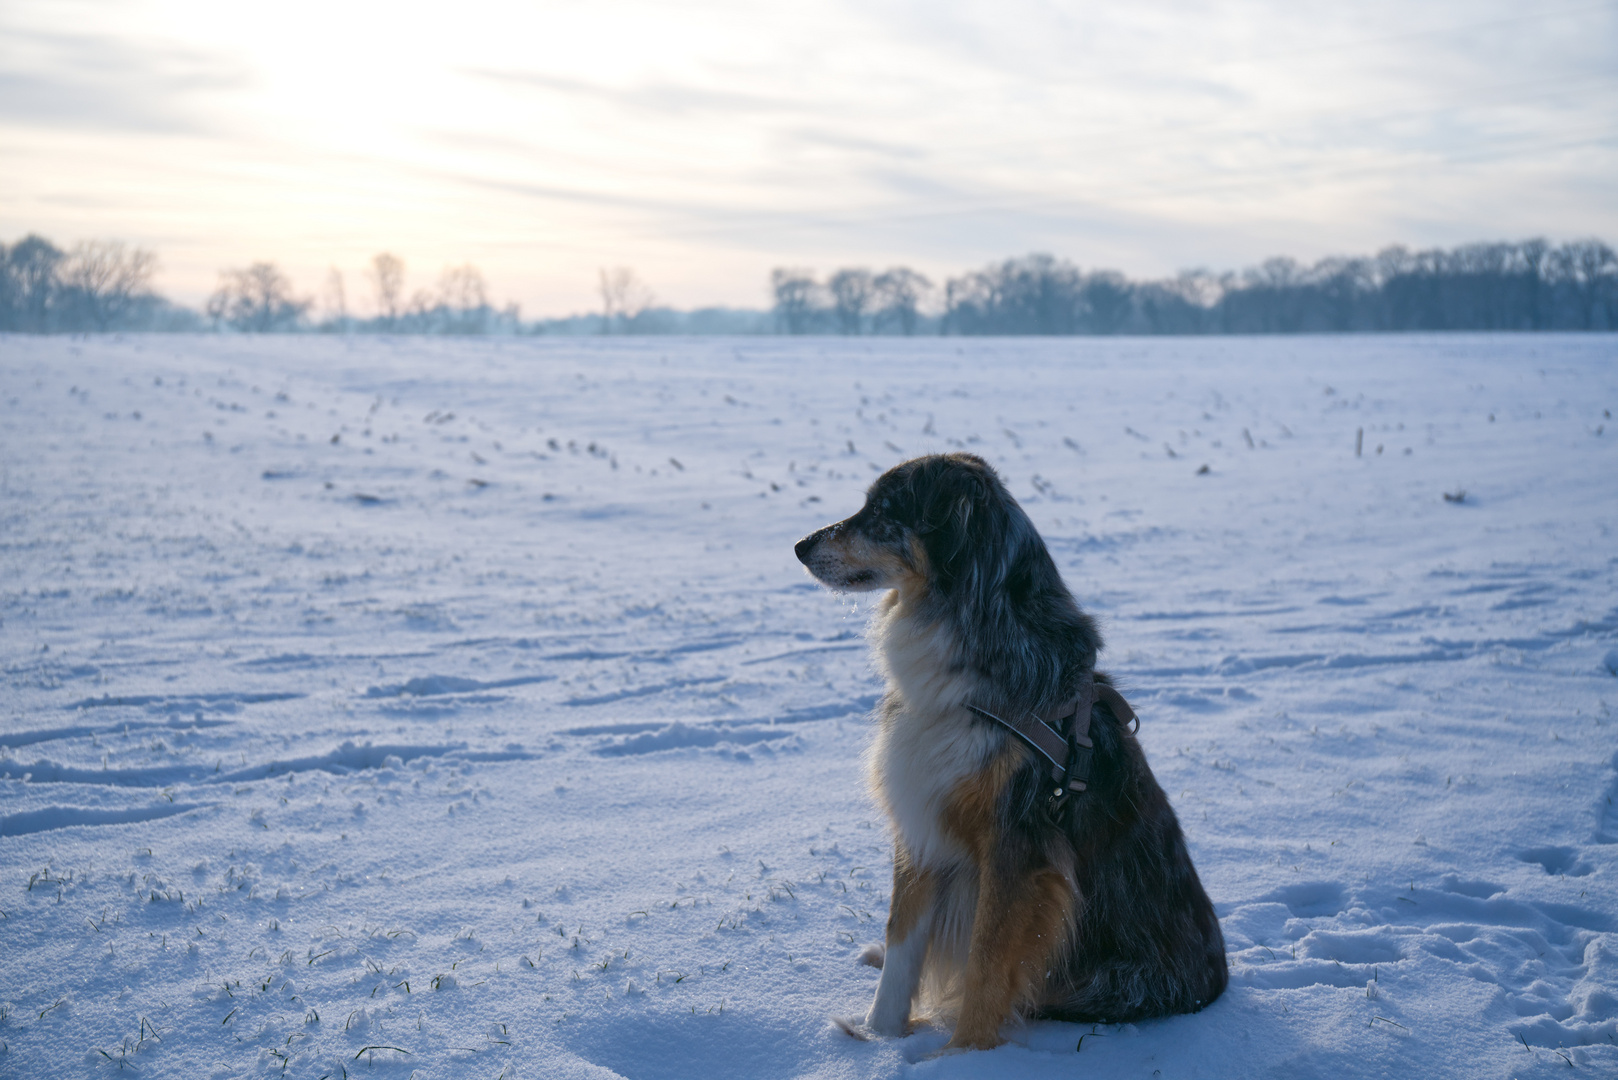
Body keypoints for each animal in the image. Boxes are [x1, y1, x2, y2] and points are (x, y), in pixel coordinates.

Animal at [796, 453, 1223, 1049]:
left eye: (881, 511)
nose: (800, 545)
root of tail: (1217, 983)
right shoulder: (922, 820)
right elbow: (903, 947)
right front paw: (880, 1039)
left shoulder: (1020, 847)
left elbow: (987, 964)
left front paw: (963, 1057)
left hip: (1109, 984)